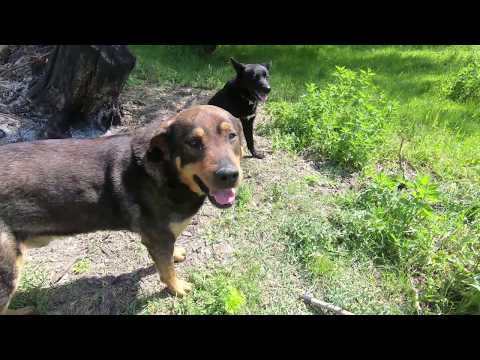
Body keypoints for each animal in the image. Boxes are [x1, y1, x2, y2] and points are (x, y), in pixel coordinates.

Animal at [0, 105, 244, 314]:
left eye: (232, 136)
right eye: (193, 142)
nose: (229, 175)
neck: (168, 174)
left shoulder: (162, 238)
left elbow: (167, 257)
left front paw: (176, 255)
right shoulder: (158, 237)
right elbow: (166, 270)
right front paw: (177, 288)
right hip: (8, 270)